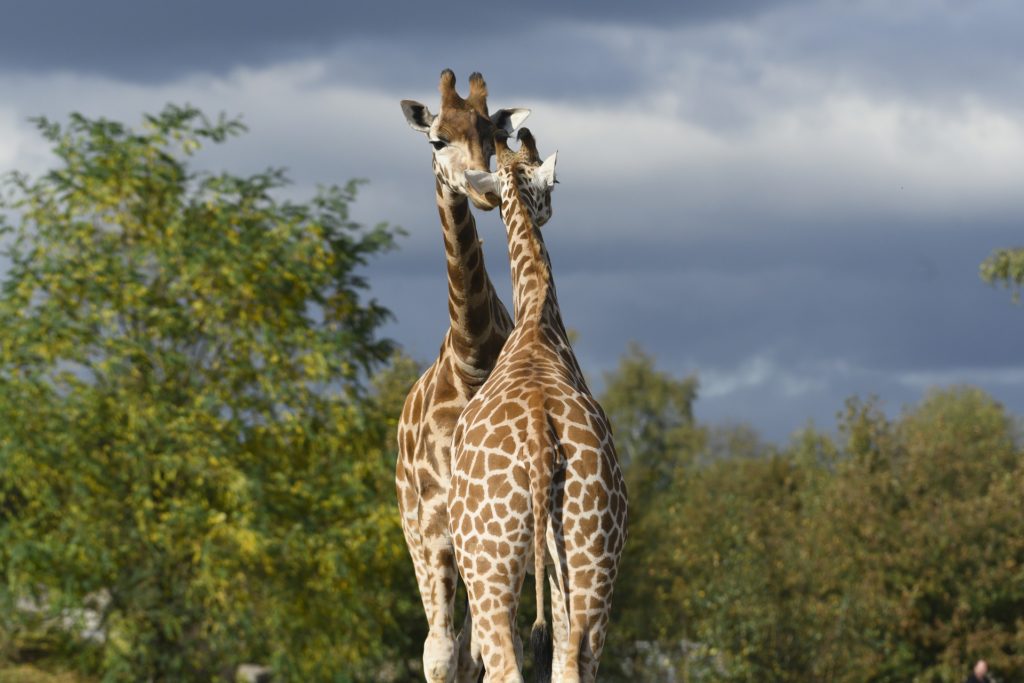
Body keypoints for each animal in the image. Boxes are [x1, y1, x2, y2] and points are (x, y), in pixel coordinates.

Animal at [452, 129, 626, 683]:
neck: (536, 320)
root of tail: (538, 438)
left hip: (490, 563)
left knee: (507, 661)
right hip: (589, 552)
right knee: (574, 657)